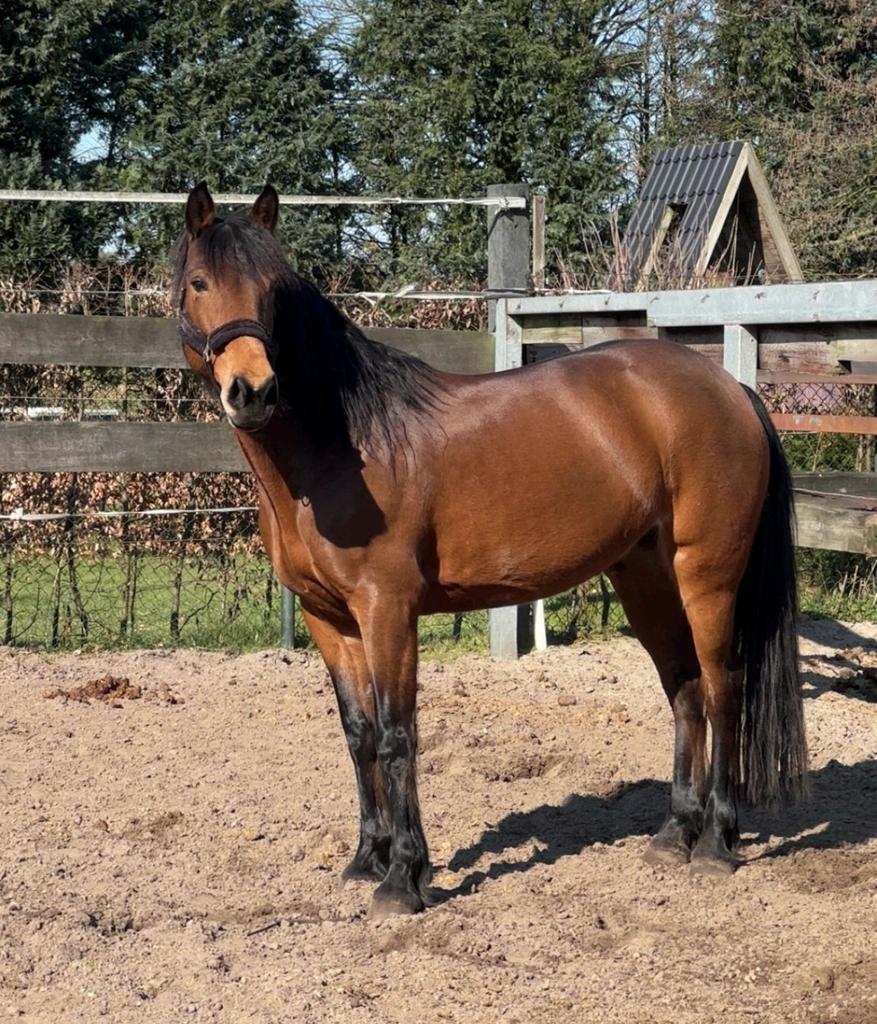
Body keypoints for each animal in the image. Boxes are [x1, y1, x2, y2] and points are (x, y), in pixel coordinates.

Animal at [173, 182, 808, 918]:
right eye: (199, 282)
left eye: (274, 290)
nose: (253, 390)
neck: (342, 449)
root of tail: (730, 390)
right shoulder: (327, 618)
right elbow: (359, 734)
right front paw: (365, 860)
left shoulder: (388, 612)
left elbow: (397, 735)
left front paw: (404, 878)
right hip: (645, 578)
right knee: (684, 689)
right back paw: (674, 833)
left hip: (706, 575)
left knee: (723, 687)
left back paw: (714, 845)